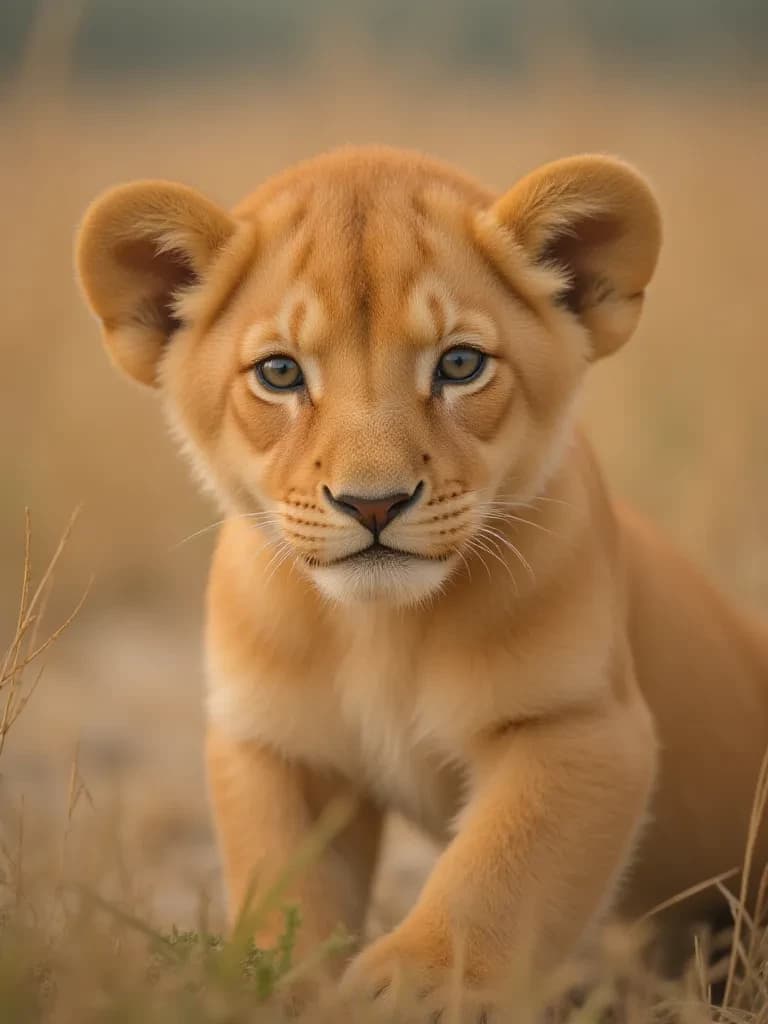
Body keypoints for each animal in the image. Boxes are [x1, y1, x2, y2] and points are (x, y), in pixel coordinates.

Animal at [75, 146, 768, 1015]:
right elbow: (284, 881)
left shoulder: (580, 725)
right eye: (279, 373)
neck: (378, 629)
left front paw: (419, 983)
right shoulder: (277, 742)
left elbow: (500, 870)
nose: (373, 502)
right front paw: (277, 985)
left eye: (460, 364)